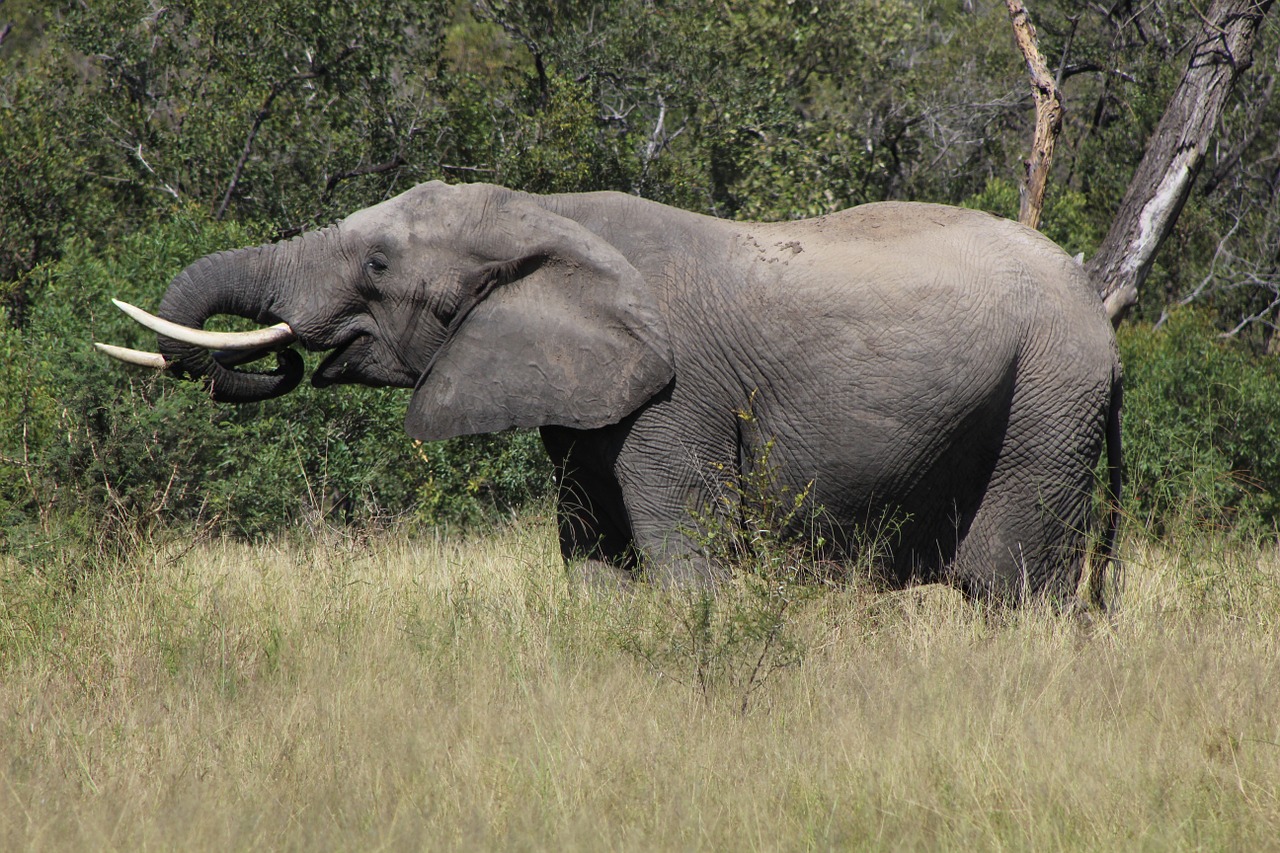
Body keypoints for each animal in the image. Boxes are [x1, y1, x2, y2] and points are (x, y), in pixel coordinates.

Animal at [99, 183, 1121, 601]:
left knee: (1008, 588)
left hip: (1045, 403)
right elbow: (591, 561)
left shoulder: (676, 398)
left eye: (380, 264)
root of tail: (1106, 327)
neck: (545, 214)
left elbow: (682, 560)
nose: (288, 354)